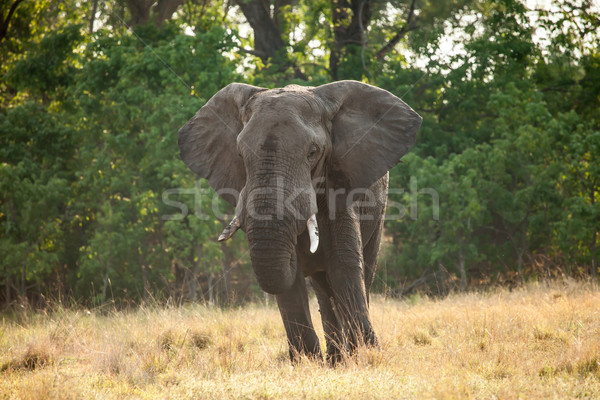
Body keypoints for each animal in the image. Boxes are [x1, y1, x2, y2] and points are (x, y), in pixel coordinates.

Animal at [178, 79, 422, 364]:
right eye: (239, 154)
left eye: (313, 152)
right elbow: (291, 280)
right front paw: (307, 362)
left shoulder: (340, 187)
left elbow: (344, 266)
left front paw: (367, 355)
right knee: (323, 288)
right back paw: (335, 359)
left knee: (361, 271)